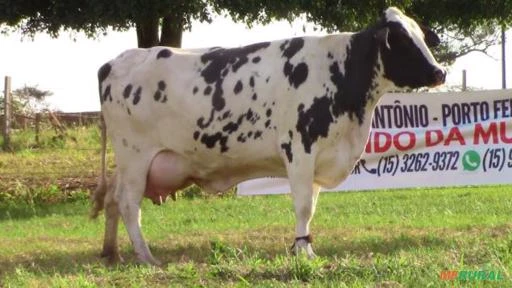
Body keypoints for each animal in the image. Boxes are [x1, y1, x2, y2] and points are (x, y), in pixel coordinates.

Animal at [91, 6, 444, 264]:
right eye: (402, 40)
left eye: (421, 36)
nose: (439, 72)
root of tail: (114, 62)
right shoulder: (300, 149)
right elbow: (303, 206)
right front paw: (303, 251)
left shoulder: (320, 157)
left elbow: (311, 206)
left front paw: (304, 246)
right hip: (135, 155)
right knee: (128, 203)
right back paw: (146, 256)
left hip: (129, 162)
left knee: (112, 199)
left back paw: (112, 252)